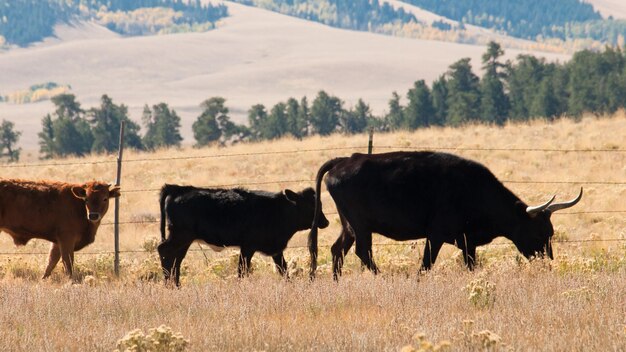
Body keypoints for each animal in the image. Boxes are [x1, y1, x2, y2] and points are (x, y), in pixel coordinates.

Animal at [157, 184, 326, 286]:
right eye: (311, 206)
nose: (325, 222)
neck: (279, 210)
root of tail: (179, 189)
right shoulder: (248, 247)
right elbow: (242, 270)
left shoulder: (276, 250)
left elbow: (283, 269)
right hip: (180, 235)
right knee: (164, 251)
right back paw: (169, 284)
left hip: (184, 240)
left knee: (176, 260)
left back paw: (176, 285)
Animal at [308, 153, 580, 280]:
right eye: (539, 232)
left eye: (551, 232)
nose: (547, 261)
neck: (475, 189)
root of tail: (346, 160)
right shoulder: (436, 235)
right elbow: (426, 264)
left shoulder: (468, 241)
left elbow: (470, 264)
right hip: (361, 227)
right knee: (362, 252)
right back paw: (381, 277)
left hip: (349, 227)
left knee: (337, 249)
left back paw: (336, 282)